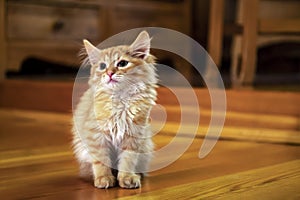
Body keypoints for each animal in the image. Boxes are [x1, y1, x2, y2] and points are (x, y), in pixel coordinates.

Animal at [72, 31, 158, 189]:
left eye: (122, 63)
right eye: (102, 66)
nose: (109, 73)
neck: (120, 100)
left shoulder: (133, 135)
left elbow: (128, 160)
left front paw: (127, 178)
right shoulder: (96, 136)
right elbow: (101, 160)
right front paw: (103, 178)